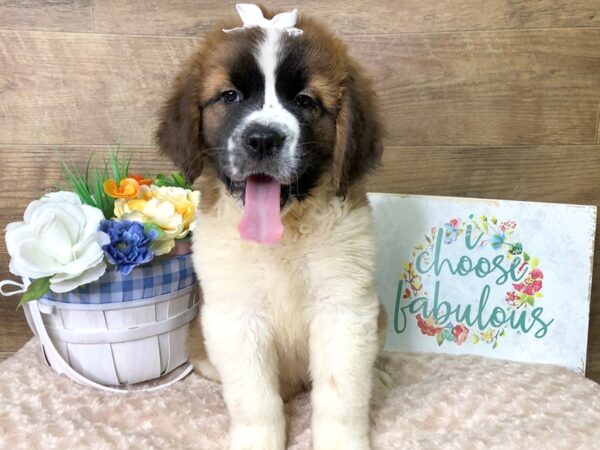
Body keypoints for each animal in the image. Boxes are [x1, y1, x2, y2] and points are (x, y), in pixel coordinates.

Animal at [157, 3, 386, 450]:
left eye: (305, 100)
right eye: (229, 96)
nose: (263, 139)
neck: (285, 233)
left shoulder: (344, 310)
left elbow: (341, 395)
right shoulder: (235, 316)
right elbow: (254, 400)